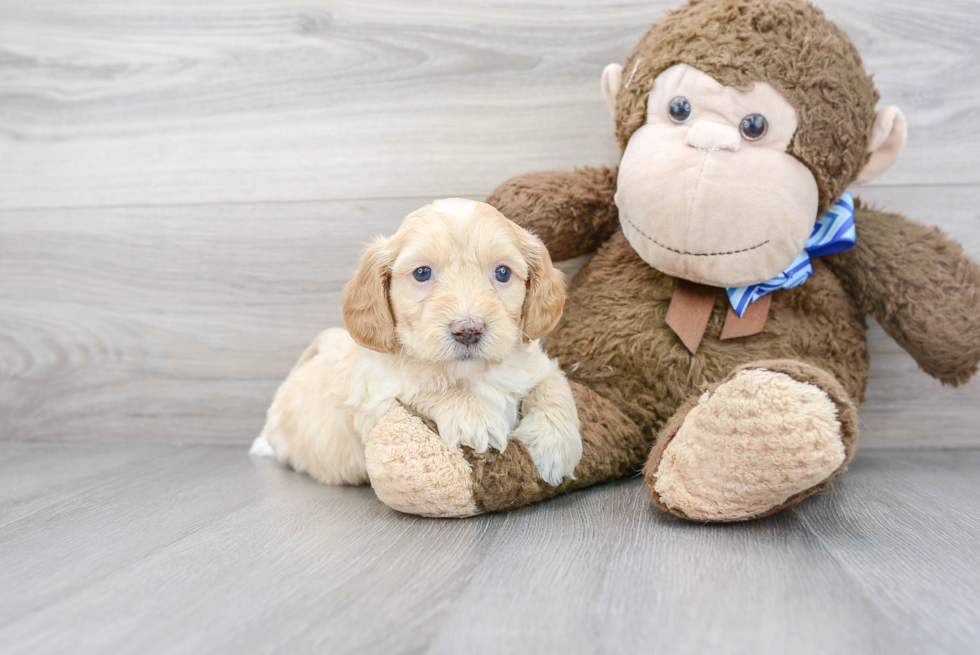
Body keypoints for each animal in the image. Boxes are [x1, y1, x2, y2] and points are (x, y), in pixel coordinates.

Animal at [251, 199, 580, 486]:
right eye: (422, 273)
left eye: (502, 272)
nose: (468, 330)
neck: (473, 374)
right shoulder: (379, 396)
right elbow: (427, 388)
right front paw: (476, 418)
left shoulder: (537, 366)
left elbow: (554, 386)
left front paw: (554, 446)